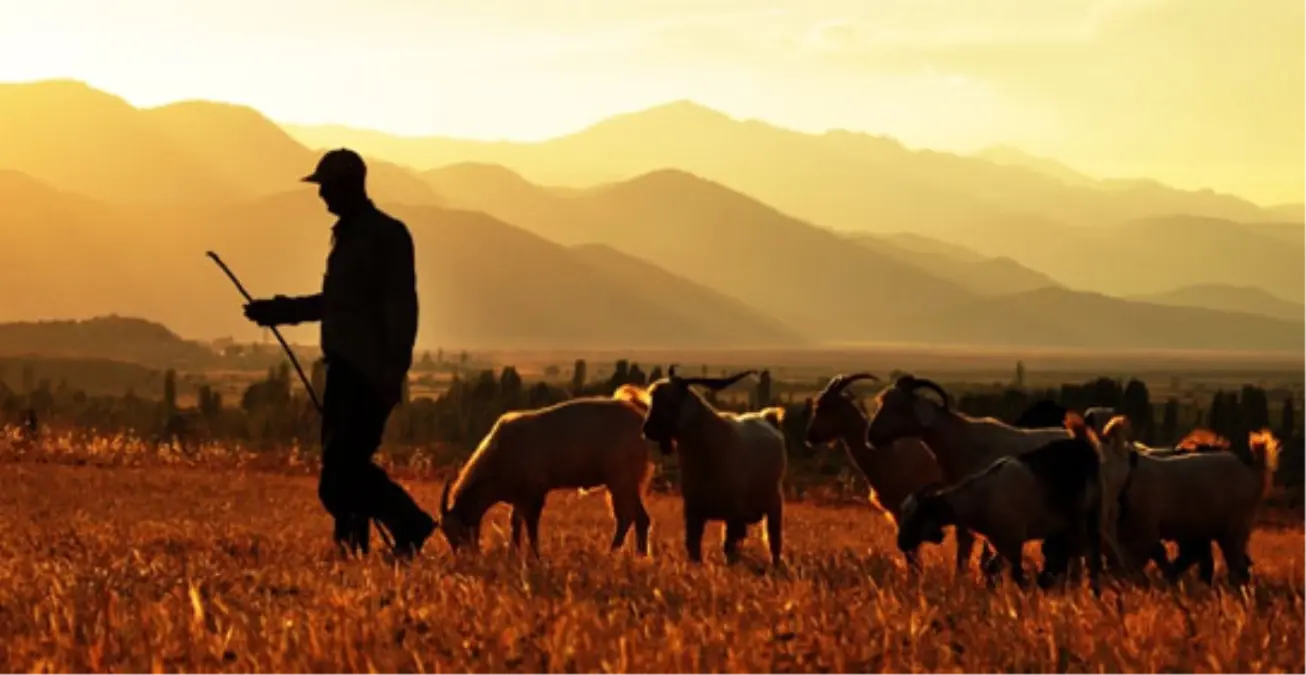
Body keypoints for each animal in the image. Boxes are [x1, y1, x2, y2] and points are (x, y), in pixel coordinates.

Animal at [438, 389, 658, 558]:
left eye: (458, 532)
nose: (466, 558)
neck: (502, 449)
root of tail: (640, 420)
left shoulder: (534, 494)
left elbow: (531, 524)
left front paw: (535, 556)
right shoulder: (520, 498)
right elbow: (515, 522)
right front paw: (514, 553)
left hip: (621, 483)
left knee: (627, 517)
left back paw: (613, 553)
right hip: (626, 485)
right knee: (636, 518)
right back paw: (638, 556)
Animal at [632, 365, 783, 566]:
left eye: (671, 402)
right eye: (652, 400)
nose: (647, 430)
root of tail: (767, 417)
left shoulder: (733, 513)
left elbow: (729, 548)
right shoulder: (694, 512)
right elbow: (693, 546)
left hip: (774, 504)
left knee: (774, 541)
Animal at [898, 412, 1102, 592]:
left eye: (918, 515)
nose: (901, 543)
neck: (980, 497)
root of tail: (1084, 444)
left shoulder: (1014, 541)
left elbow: (1019, 576)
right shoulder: (999, 543)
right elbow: (991, 568)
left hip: (1089, 515)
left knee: (1090, 556)